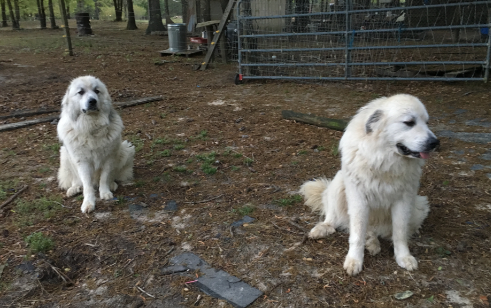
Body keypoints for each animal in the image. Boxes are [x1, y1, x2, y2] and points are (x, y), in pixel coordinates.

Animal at [57, 76, 135, 213]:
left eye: (96, 91)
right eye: (81, 92)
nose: (92, 101)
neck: (91, 126)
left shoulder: (109, 158)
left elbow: (104, 177)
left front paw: (105, 193)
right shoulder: (82, 162)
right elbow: (87, 185)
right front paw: (88, 203)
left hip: (125, 150)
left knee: (113, 175)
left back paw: (112, 184)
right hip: (65, 154)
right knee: (76, 179)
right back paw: (74, 188)